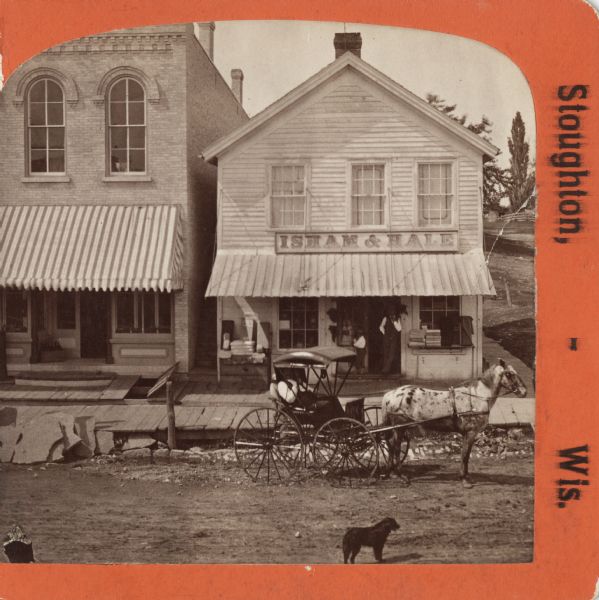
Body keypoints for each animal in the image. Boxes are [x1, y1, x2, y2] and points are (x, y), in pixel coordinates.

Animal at [382, 358, 528, 486]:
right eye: (509, 374)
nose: (524, 392)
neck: (477, 397)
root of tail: (391, 395)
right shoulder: (470, 433)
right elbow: (465, 455)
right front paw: (464, 479)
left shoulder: (469, 434)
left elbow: (466, 455)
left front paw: (466, 476)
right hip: (399, 427)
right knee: (395, 447)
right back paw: (401, 475)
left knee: (390, 445)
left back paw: (391, 473)